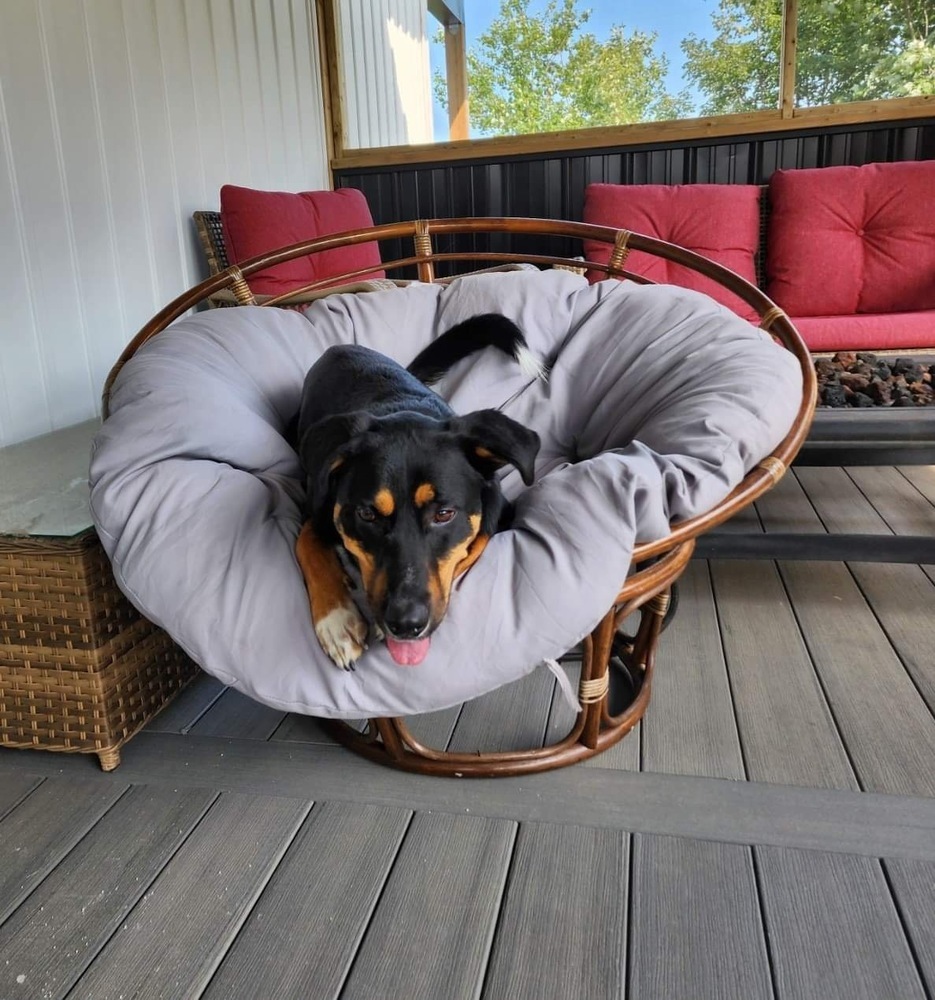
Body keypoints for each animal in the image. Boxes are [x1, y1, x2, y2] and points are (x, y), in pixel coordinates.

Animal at [292, 316, 540, 668]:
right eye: (367, 514)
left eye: (445, 514)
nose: (405, 624)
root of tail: (339, 348)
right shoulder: (318, 502)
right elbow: (305, 542)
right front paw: (337, 619)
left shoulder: (499, 508)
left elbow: (476, 543)